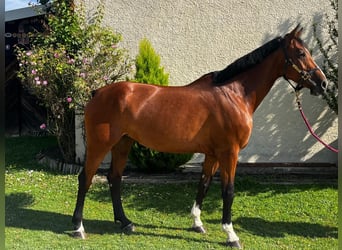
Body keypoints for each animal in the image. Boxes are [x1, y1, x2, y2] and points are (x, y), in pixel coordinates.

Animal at [71, 24, 328, 247]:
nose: (323, 83)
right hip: (100, 144)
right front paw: (231, 235)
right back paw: (78, 228)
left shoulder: (212, 154)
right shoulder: (229, 152)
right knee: (86, 178)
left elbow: (203, 184)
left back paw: (125, 222)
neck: (233, 94)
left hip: (122, 144)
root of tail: (98, 92)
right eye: (301, 53)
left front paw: (197, 223)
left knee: (114, 179)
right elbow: (228, 190)